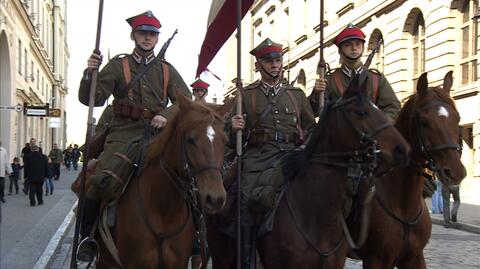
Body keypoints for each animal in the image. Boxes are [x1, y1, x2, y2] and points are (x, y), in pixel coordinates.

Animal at [208, 75, 410, 268]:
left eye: (378, 109)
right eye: (362, 112)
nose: (402, 149)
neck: (316, 215)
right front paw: (237, 124)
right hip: (220, 256)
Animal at [350, 70, 466, 266]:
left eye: (457, 118)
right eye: (425, 122)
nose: (455, 171)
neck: (404, 204)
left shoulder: (414, 257)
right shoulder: (376, 259)